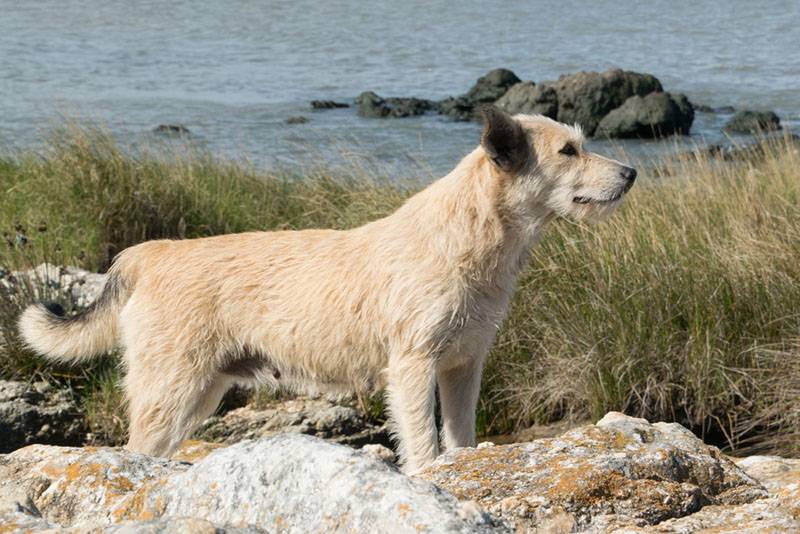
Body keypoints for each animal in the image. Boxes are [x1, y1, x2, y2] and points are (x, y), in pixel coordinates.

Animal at [17, 108, 636, 474]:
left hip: (197, 391)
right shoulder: (414, 366)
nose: (630, 174)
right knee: (135, 452)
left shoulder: (463, 367)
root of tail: (151, 254)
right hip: (170, 391)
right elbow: (423, 440)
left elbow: (459, 437)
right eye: (568, 151)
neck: (473, 235)